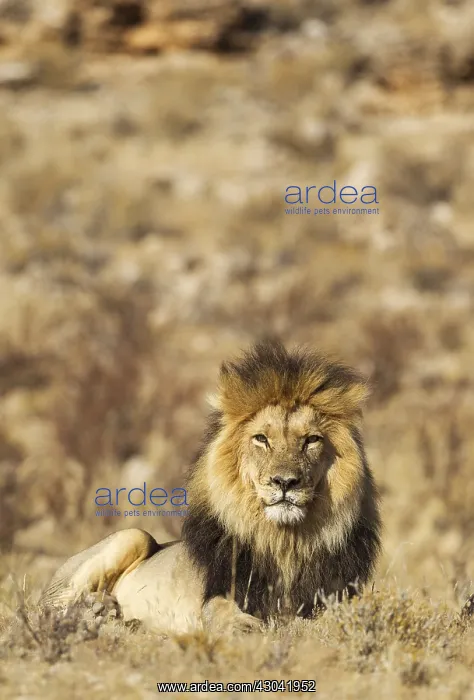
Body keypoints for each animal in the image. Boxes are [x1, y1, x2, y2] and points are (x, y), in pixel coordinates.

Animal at [40, 339, 382, 634]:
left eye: (311, 440)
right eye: (262, 439)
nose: (285, 482)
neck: (283, 541)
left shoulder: (333, 594)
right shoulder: (219, 591)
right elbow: (219, 609)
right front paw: (244, 626)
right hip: (133, 536)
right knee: (47, 607)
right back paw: (99, 610)